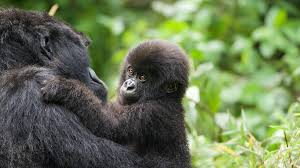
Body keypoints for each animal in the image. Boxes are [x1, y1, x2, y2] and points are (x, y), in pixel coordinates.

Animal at [41, 40, 190, 167]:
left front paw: (65, 88)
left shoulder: (153, 112)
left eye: (142, 77)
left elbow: (108, 124)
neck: (165, 97)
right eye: (131, 71)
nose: (128, 85)